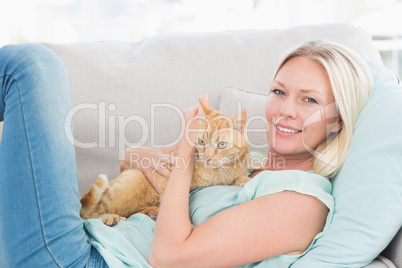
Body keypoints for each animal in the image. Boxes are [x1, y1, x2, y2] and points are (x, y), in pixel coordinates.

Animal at [80, 99, 253, 225]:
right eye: (201, 141)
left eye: (221, 145)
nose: (207, 157)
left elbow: (239, 177)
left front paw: (245, 180)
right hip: (132, 179)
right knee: (89, 216)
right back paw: (110, 217)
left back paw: (150, 212)